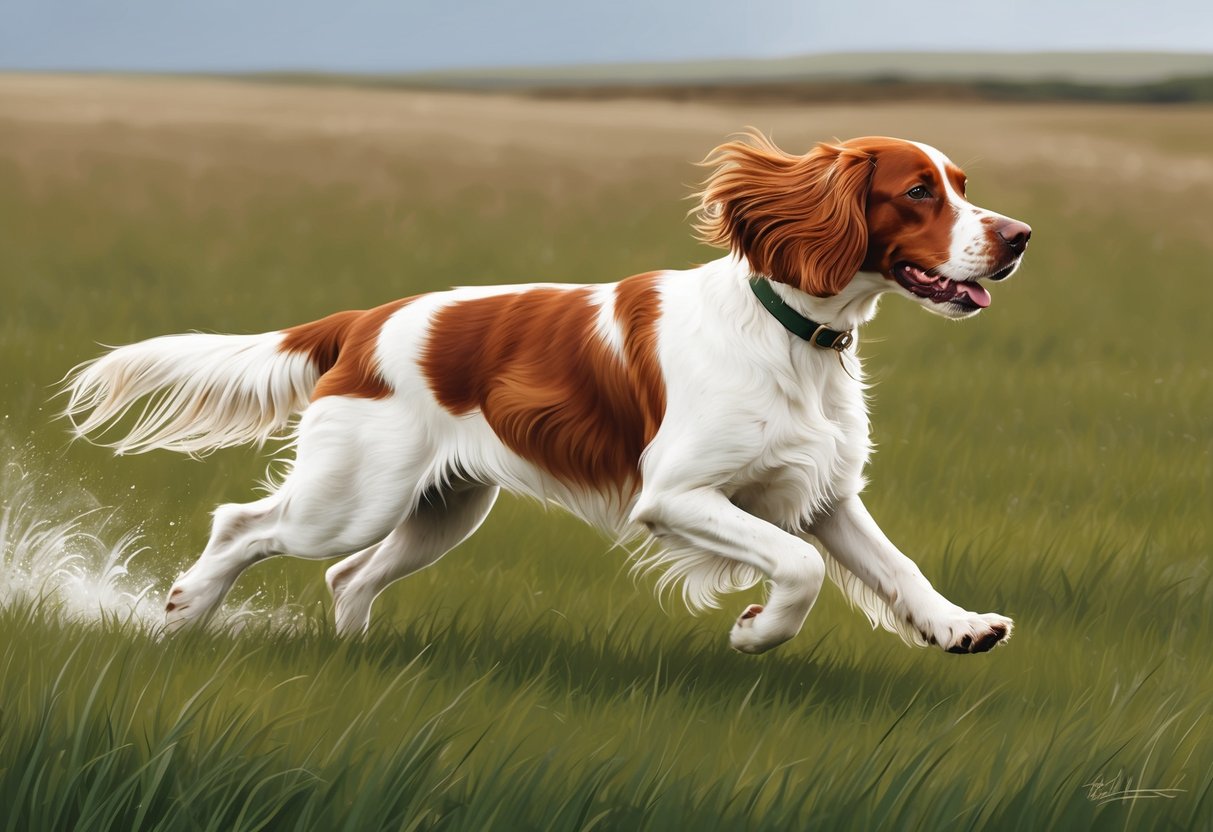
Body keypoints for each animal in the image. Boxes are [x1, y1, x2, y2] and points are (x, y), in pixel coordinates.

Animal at [63, 135, 1033, 659]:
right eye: (916, 191)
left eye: (963, 184)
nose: (1020, 236)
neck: (789, 332)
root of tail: (364, 320)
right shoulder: (675, 495)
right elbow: (794, 568)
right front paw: (755, 632)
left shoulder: (822, 493)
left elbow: (896, 567)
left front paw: (958, 627)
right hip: (352, 496)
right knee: (245, 526)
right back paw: (183, 613)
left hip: (444, 508)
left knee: (347, 576)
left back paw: (357, 658)